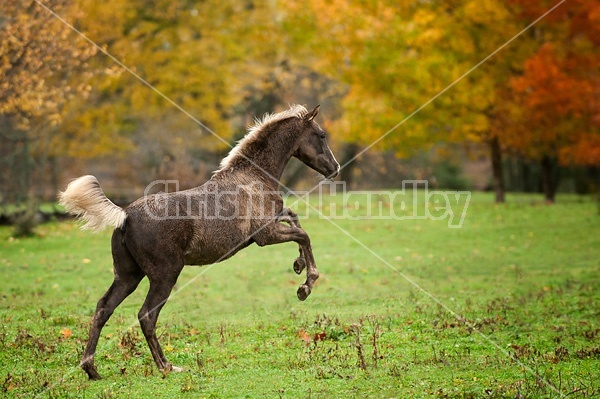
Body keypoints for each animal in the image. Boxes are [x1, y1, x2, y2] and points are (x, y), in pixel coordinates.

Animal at [58, 104, 340, 380]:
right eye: (322, 135)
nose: (335, 168)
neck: (253, 178)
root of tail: (125, 215)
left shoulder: (273, 222)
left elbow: (294, 219)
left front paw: (298, 265)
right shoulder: (265, 235)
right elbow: (304, 234)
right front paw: (306, 285)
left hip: (128, 275)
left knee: (103, 308)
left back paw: (92, 370)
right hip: (165, 274)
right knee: (146, 315)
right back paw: (167, 366)